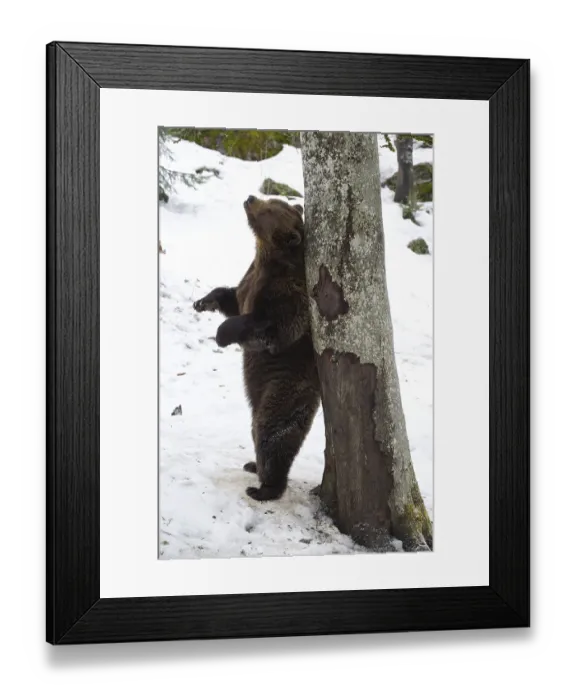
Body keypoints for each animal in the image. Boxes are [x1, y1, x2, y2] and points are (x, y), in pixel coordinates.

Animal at [193, 195, 321, 502]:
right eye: (274, 200)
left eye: (271, 208)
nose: (251, 198)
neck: (265, 257)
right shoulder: (248, 279)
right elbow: (231, 297)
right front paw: (203, 301)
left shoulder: (287, 293)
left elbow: (272, 324)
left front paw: (221, 335)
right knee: (255, 427)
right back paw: (252, 465)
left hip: (285, 388)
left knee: (271, 430)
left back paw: (264, 487)